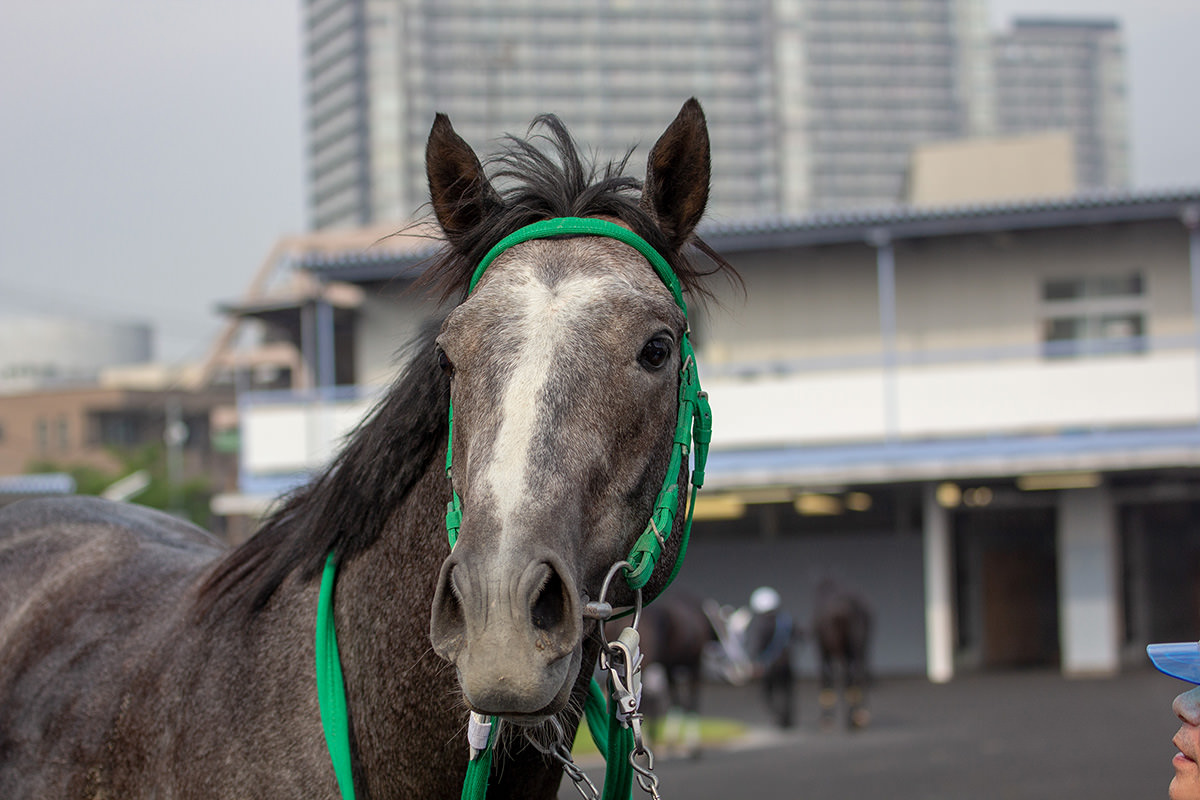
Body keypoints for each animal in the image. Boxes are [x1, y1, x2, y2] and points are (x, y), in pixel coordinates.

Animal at [816, 575, 873, 734]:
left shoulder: (822, 652)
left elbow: (825, 679)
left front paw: (826, 719)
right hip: (861, 647)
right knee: (860, 674)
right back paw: (860, 716)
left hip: (839, 650)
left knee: (842, 676)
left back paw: (845, 720)